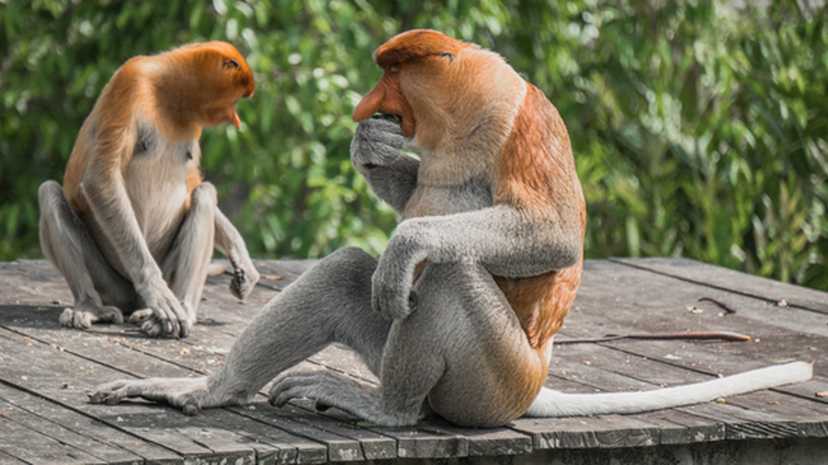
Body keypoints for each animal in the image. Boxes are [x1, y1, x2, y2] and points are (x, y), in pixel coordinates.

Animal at [38, 41, 260, 339]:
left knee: (204, 195)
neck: (170, 92)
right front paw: (157, 291)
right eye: (237, 99)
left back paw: (174, 312)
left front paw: (242, 260)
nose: (236, 120)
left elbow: (192, 184)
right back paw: (92, 307)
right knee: (49, 193)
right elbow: (101, 177)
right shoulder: (132, 81)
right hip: (111, 283)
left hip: (167, 268)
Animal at [88, 30, 812, 425]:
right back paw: (204, 393)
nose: (368, 108)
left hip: (491, 377)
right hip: (401, 345)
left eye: (393, 73)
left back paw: (384, 407)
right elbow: (410, 192)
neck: (461, 105)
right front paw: (369, 149)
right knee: (347, 271)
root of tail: (532, 385)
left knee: (442, 278)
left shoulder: (519, 118)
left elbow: (552, 231)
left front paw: (406, 239)